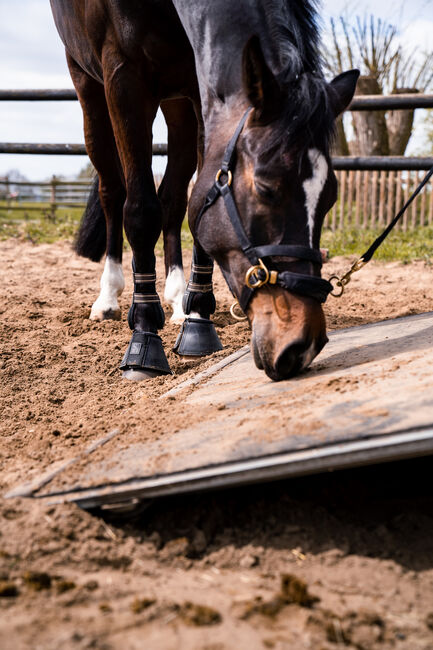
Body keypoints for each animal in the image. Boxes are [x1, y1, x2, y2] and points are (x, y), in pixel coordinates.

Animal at [49, 1, 358, 380]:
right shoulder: (122, 76)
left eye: (329, 197)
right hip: (87, 83)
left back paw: (177, 299)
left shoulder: (201, 84)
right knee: (113, 194)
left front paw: (197, 321)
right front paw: (144, 338)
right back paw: (108, 297)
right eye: (266, 189)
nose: (302, 344)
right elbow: (140, 211)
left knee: (172, 199)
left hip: (176, 102)